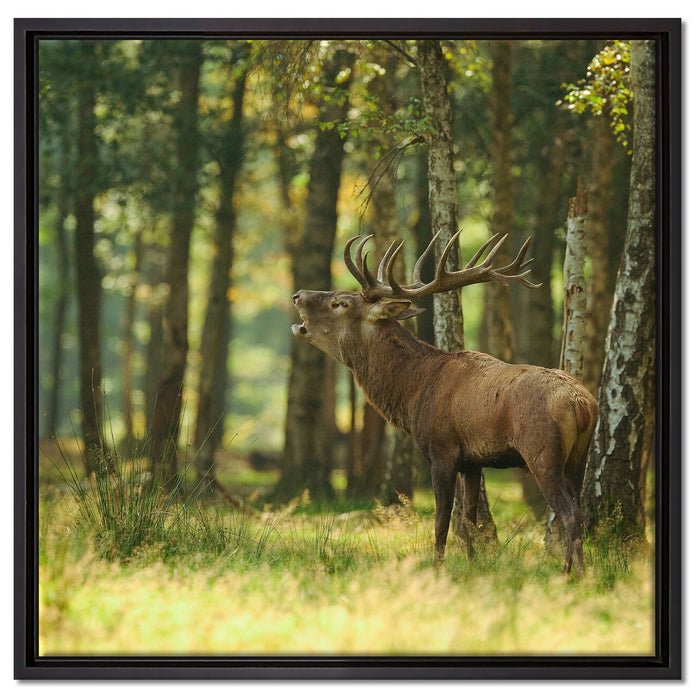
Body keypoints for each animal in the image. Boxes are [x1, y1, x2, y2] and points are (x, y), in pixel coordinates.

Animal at [291, 231, 598, 578]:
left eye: (341, 303)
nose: (298, 294)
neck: (413, 393)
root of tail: (582, 404)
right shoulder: (473, 462)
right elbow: (468, 522)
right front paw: (473, 565)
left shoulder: (442, 450)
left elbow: (441, 521)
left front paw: (437, 569)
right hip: (578, 458)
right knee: (578, 509)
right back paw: (569, 569)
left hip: (542, 451)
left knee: (568, 512)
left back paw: (575, 575)